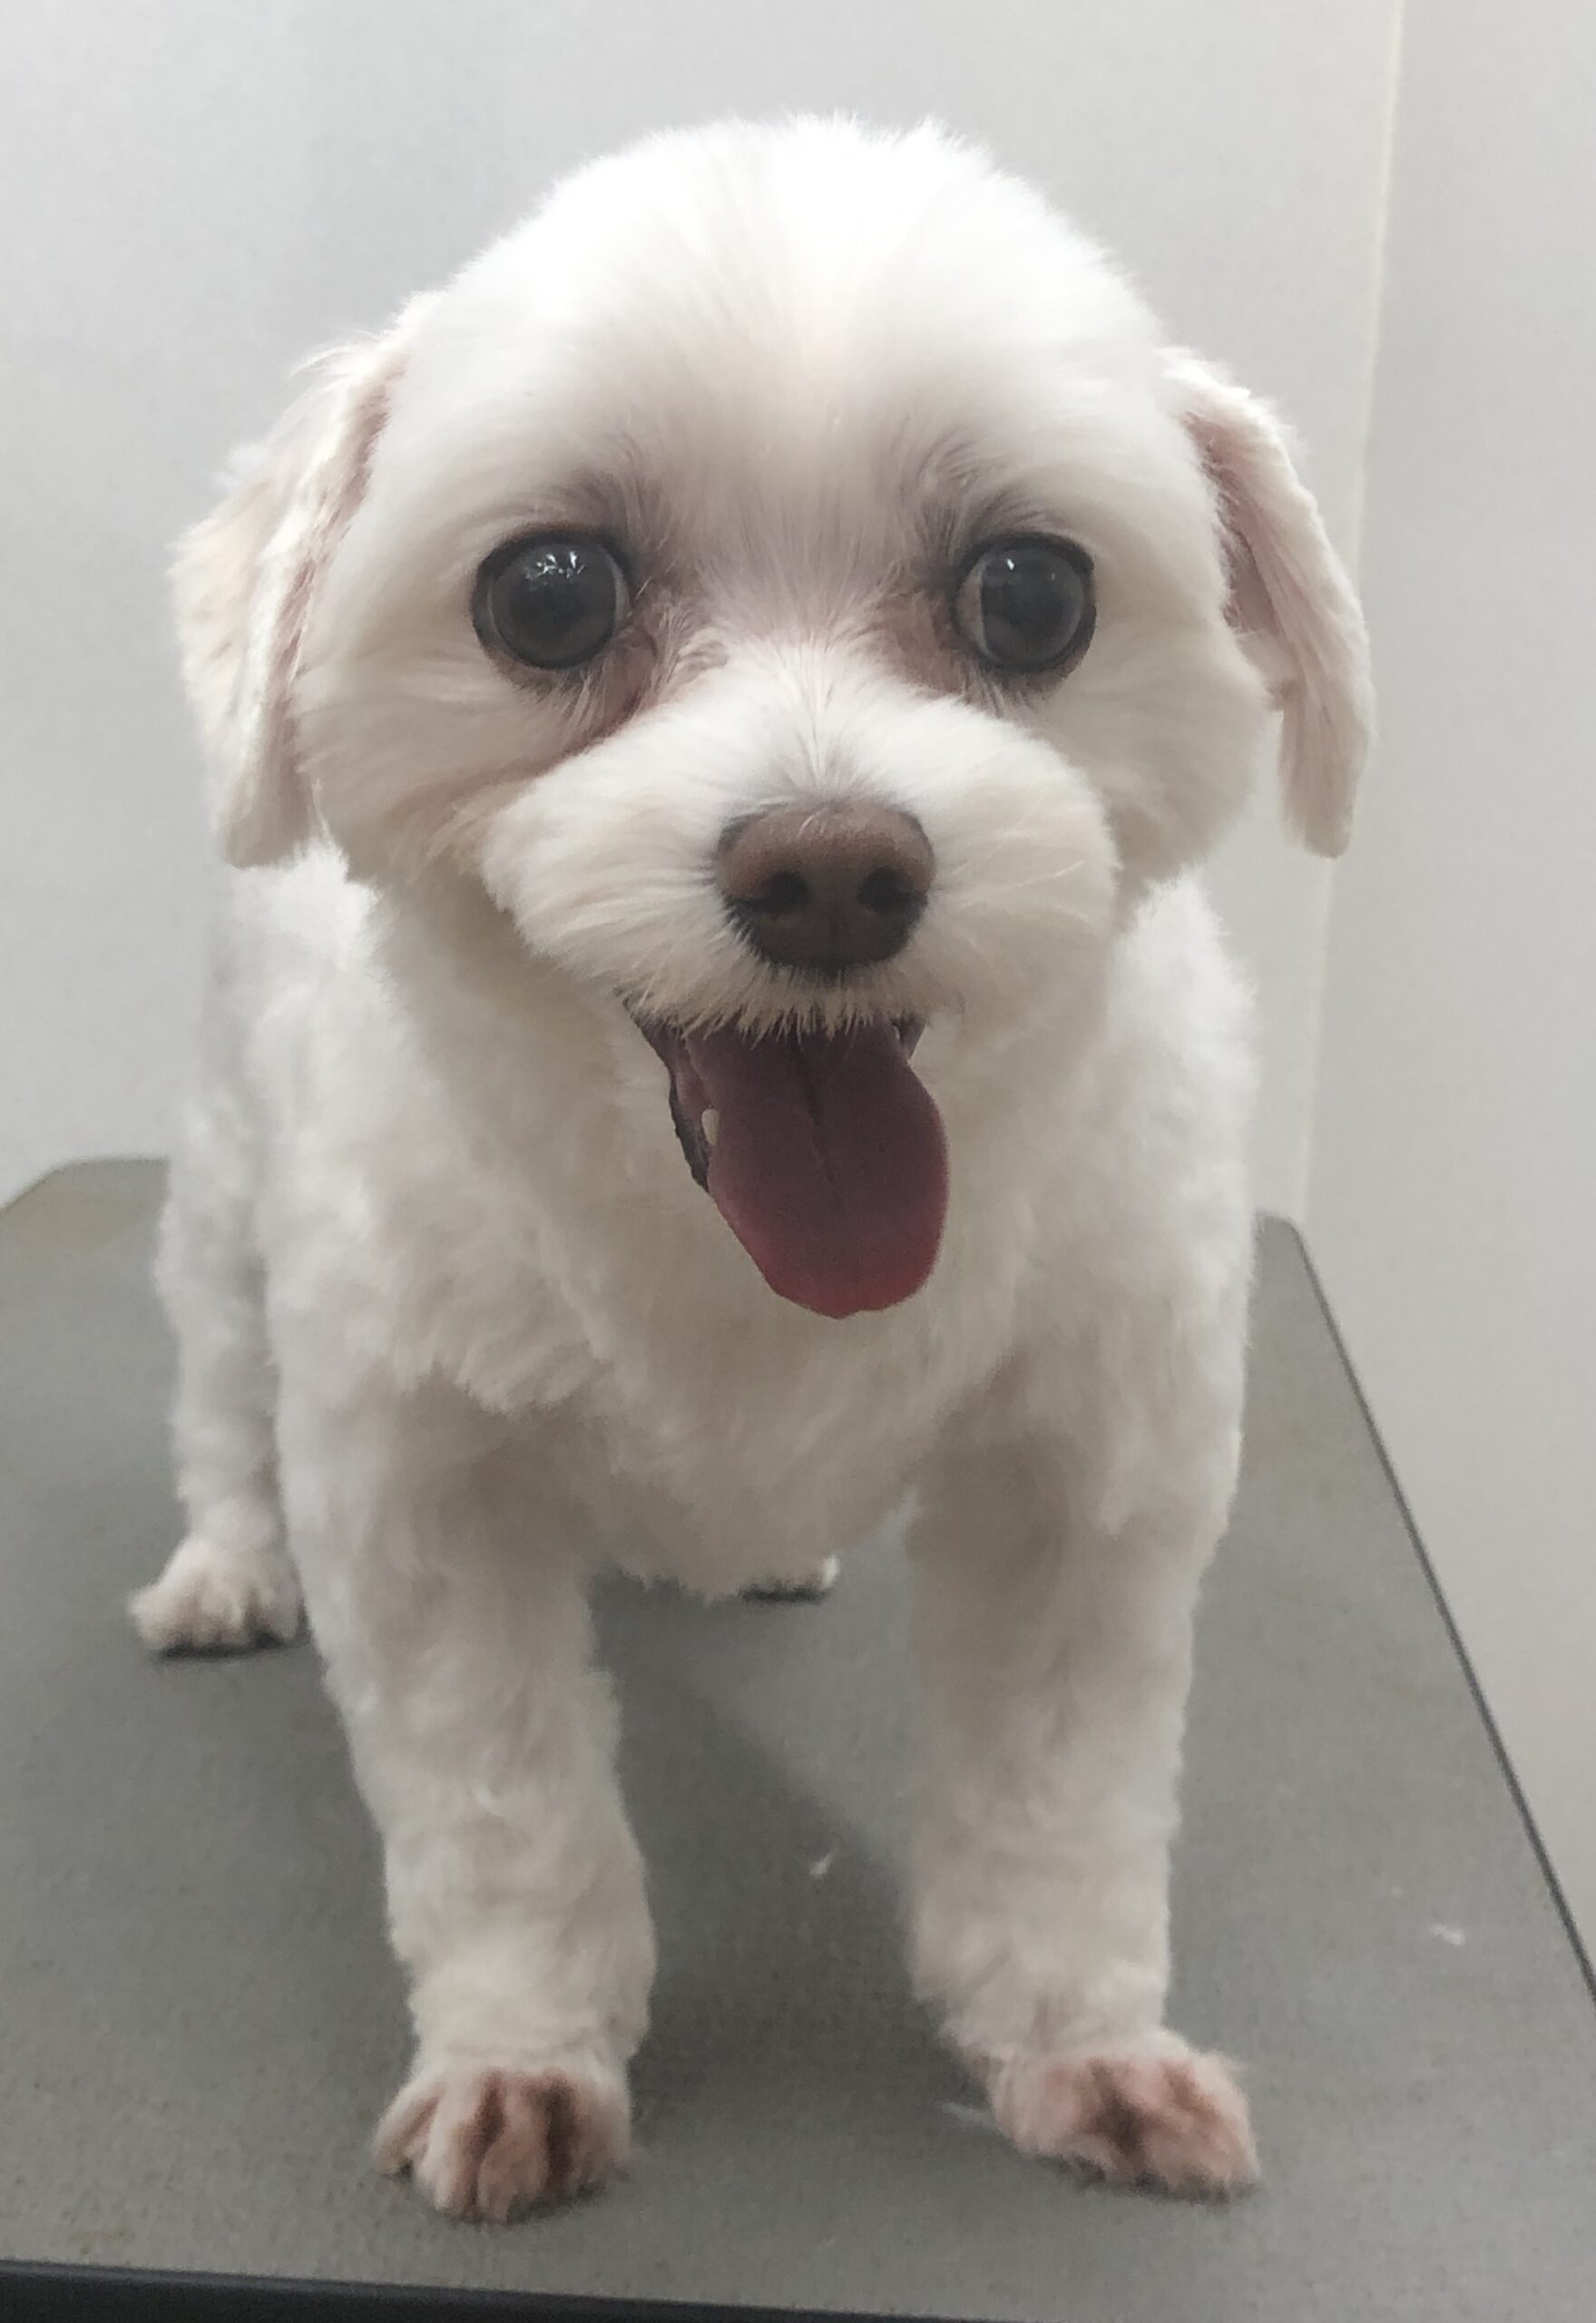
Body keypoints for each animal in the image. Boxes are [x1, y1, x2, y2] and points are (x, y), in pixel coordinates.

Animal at [131, 117, 1370, 2221]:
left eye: (1029, 595)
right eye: (546, 595)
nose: (832, 868)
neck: (718, 1248)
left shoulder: (1088, 1480)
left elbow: (1058, 1810)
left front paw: (1079, 2041)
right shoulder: (425, 1487)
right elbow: (504, 1810)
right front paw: (521, 2052)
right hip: (224, 1195)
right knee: (220, 1382)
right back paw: (222, 1560)